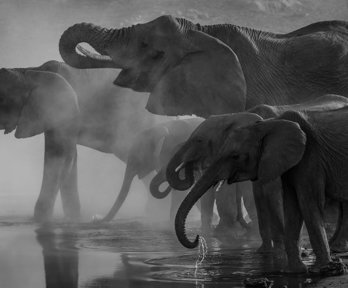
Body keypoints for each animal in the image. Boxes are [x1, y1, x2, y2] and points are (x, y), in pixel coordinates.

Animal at [0, 61, 161, 223]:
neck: (28, 72)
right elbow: (69, 157)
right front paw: (73, 219)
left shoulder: (62, 110)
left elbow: (59, 155)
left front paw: (42, 220)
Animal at [175, 106, 348, 274]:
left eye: (235, 156)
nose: (197, 238)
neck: (268, 125)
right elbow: (292, 206)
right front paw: (293, 271)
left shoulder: (311, 156)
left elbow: (308, 203)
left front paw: (320, 269)